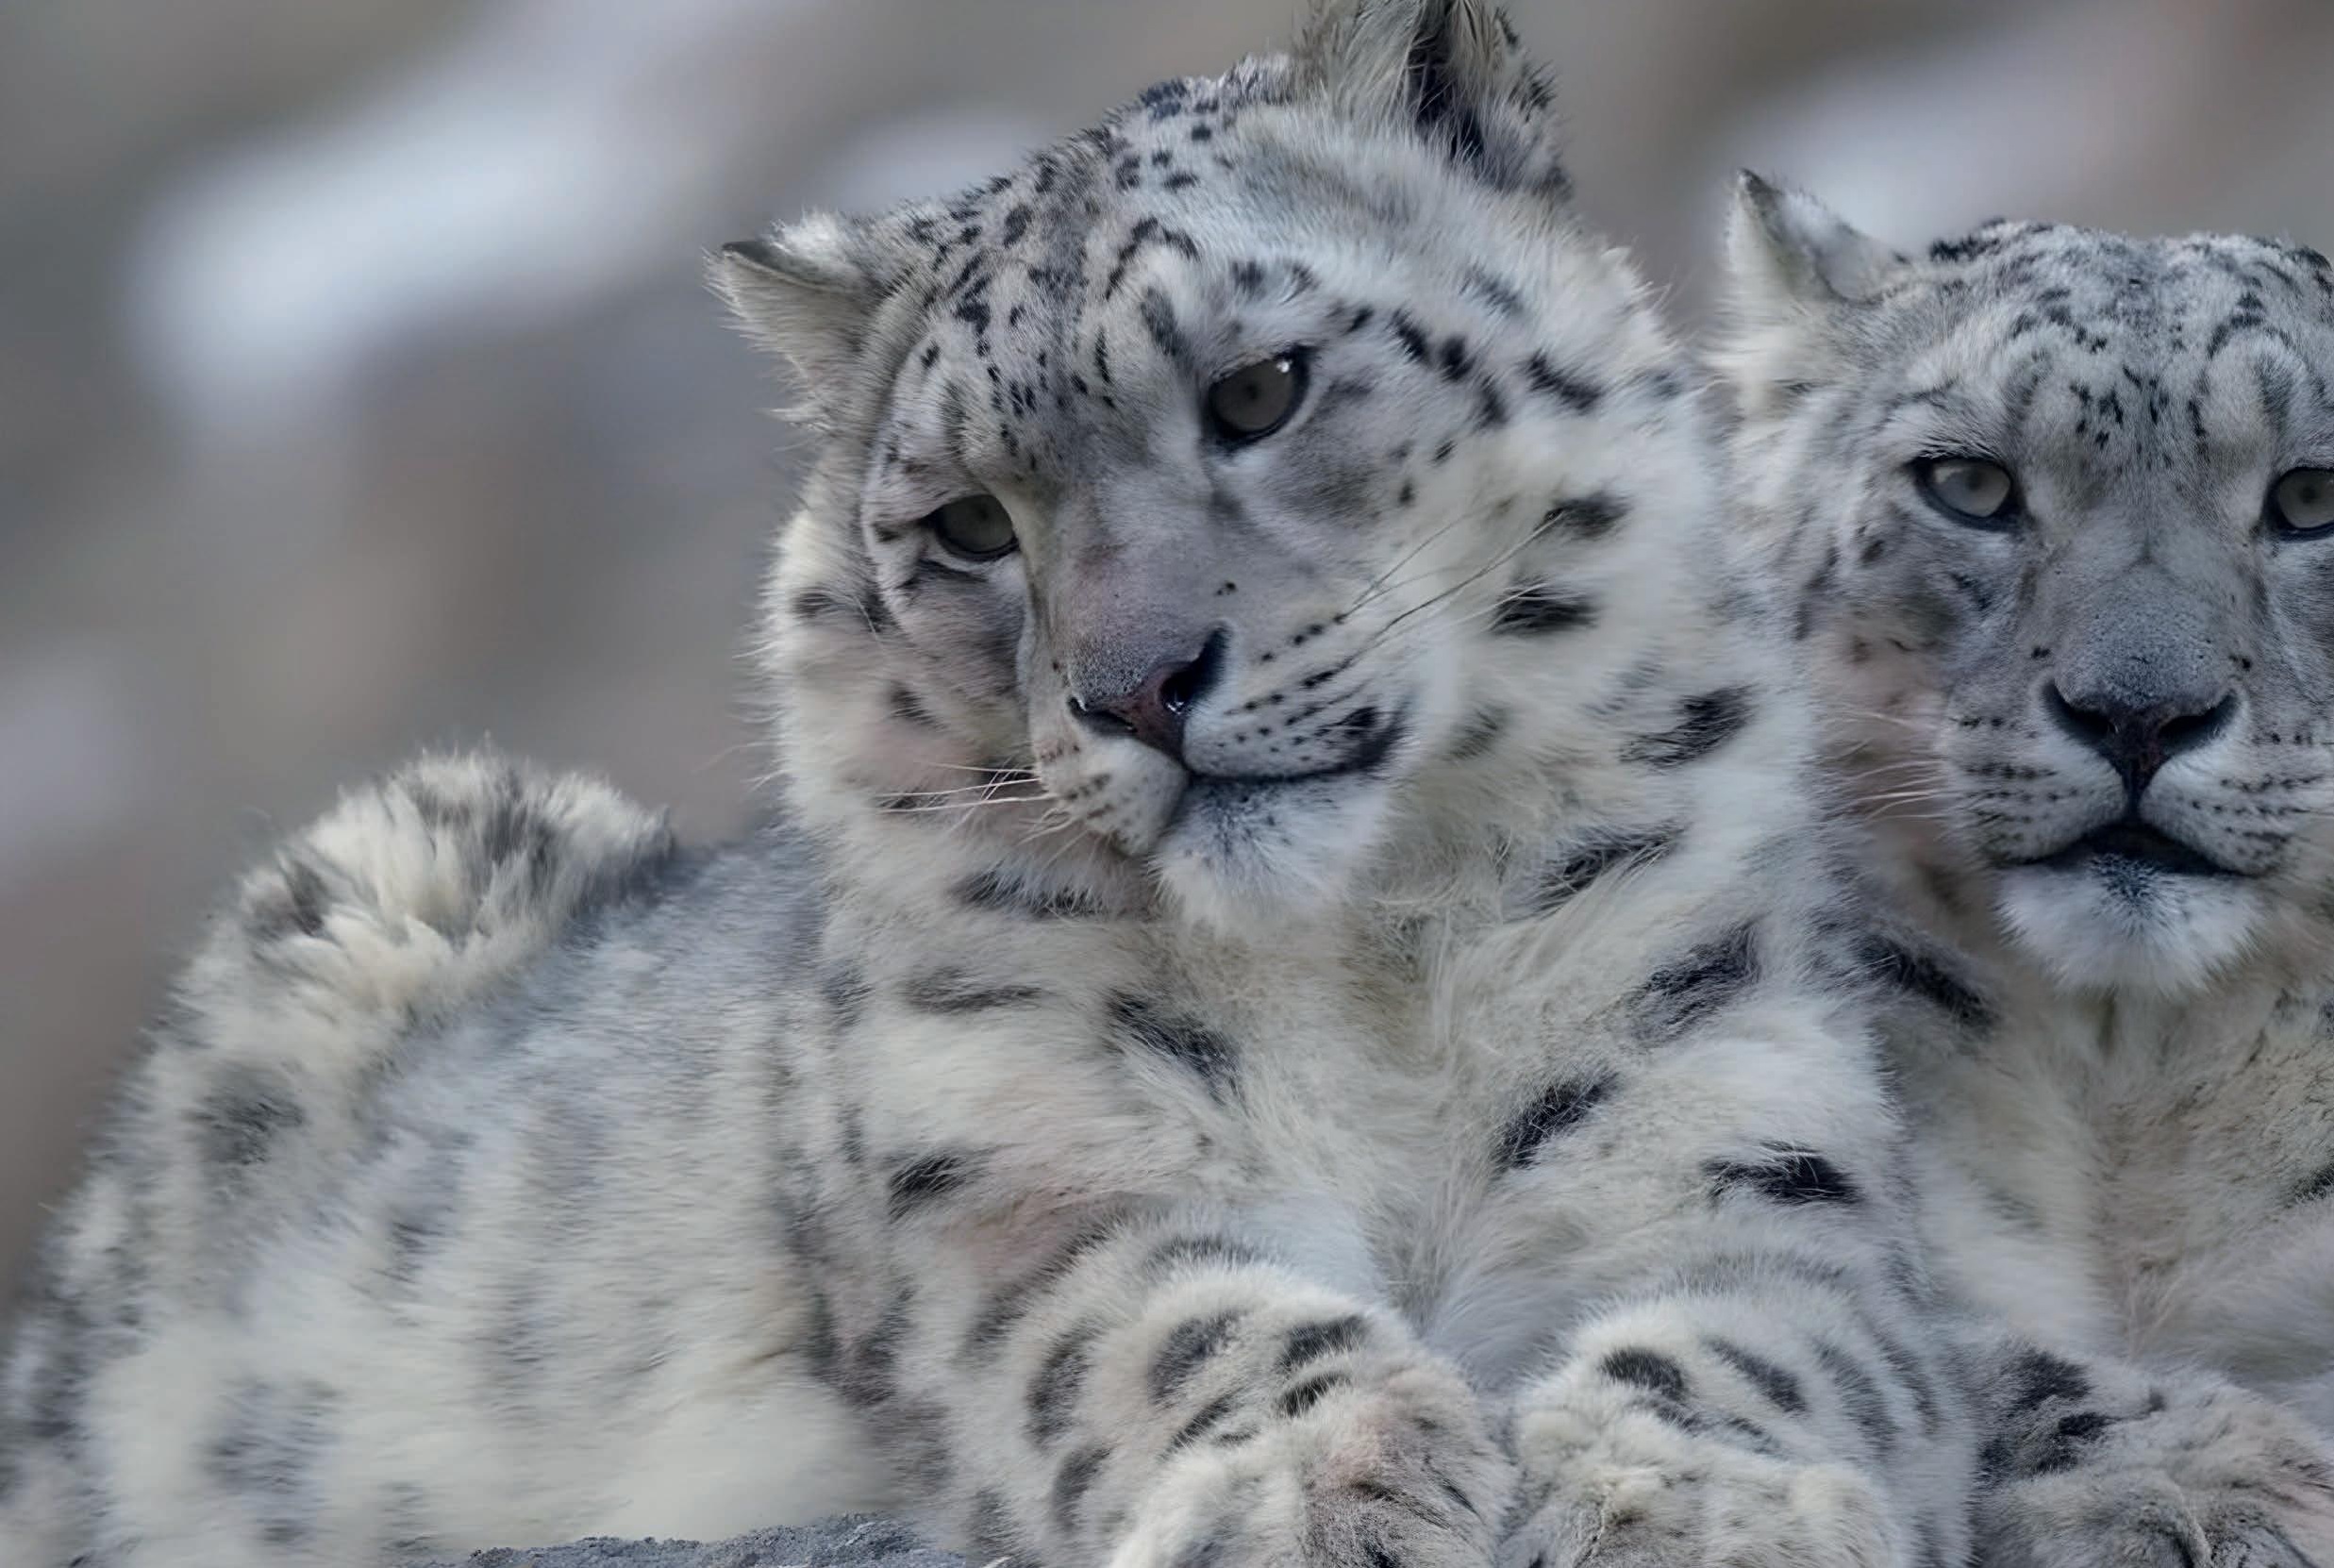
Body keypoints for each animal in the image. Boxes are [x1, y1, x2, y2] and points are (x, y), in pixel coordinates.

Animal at [0, 4, 1994, 1564]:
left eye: (1260, 385)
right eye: (963, 524)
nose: (1137, 687)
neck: (1369, 969)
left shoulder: (1729, 1094)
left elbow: (1761, 1329)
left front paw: (1699, 1503)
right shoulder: (1021, 1169)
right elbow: (1168, 1323)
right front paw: (1314, 1483)